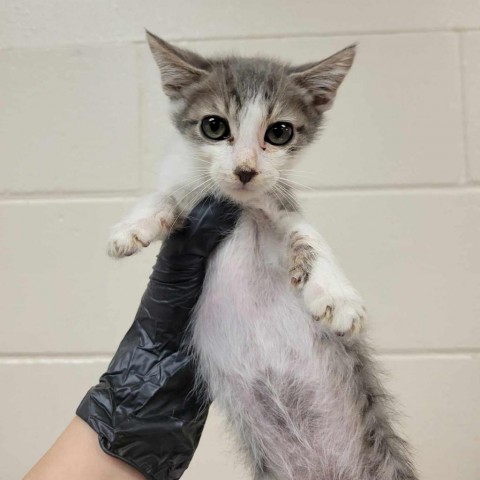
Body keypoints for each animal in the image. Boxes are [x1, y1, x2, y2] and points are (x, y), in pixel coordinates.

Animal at [108, 31, 416, 478]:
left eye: (279, 132)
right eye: (214, 126)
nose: (245, 170)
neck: (238, 208)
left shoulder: (275, 215)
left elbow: (306, 234)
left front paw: (337, 295)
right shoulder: (197, 203)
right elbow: (170, 195)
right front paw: (132, 227)